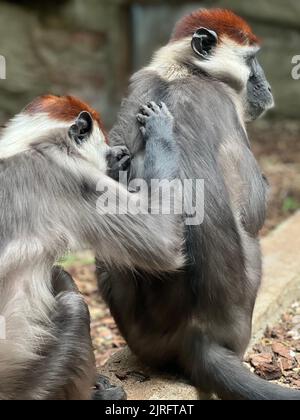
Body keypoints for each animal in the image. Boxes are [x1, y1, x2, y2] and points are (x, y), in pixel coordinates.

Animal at [0, 93, 184, 398]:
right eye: (108, 149)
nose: (120, 154)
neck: (32, 147)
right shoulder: (74, 177)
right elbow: (163, 240)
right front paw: (160, 131)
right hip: (30, 383)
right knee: (74, 307)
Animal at [98, 7, 300, 400]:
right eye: (252, 61)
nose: (266, 85)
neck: (184, 72)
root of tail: (196, 335)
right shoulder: (225, 103)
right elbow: (254, 210)